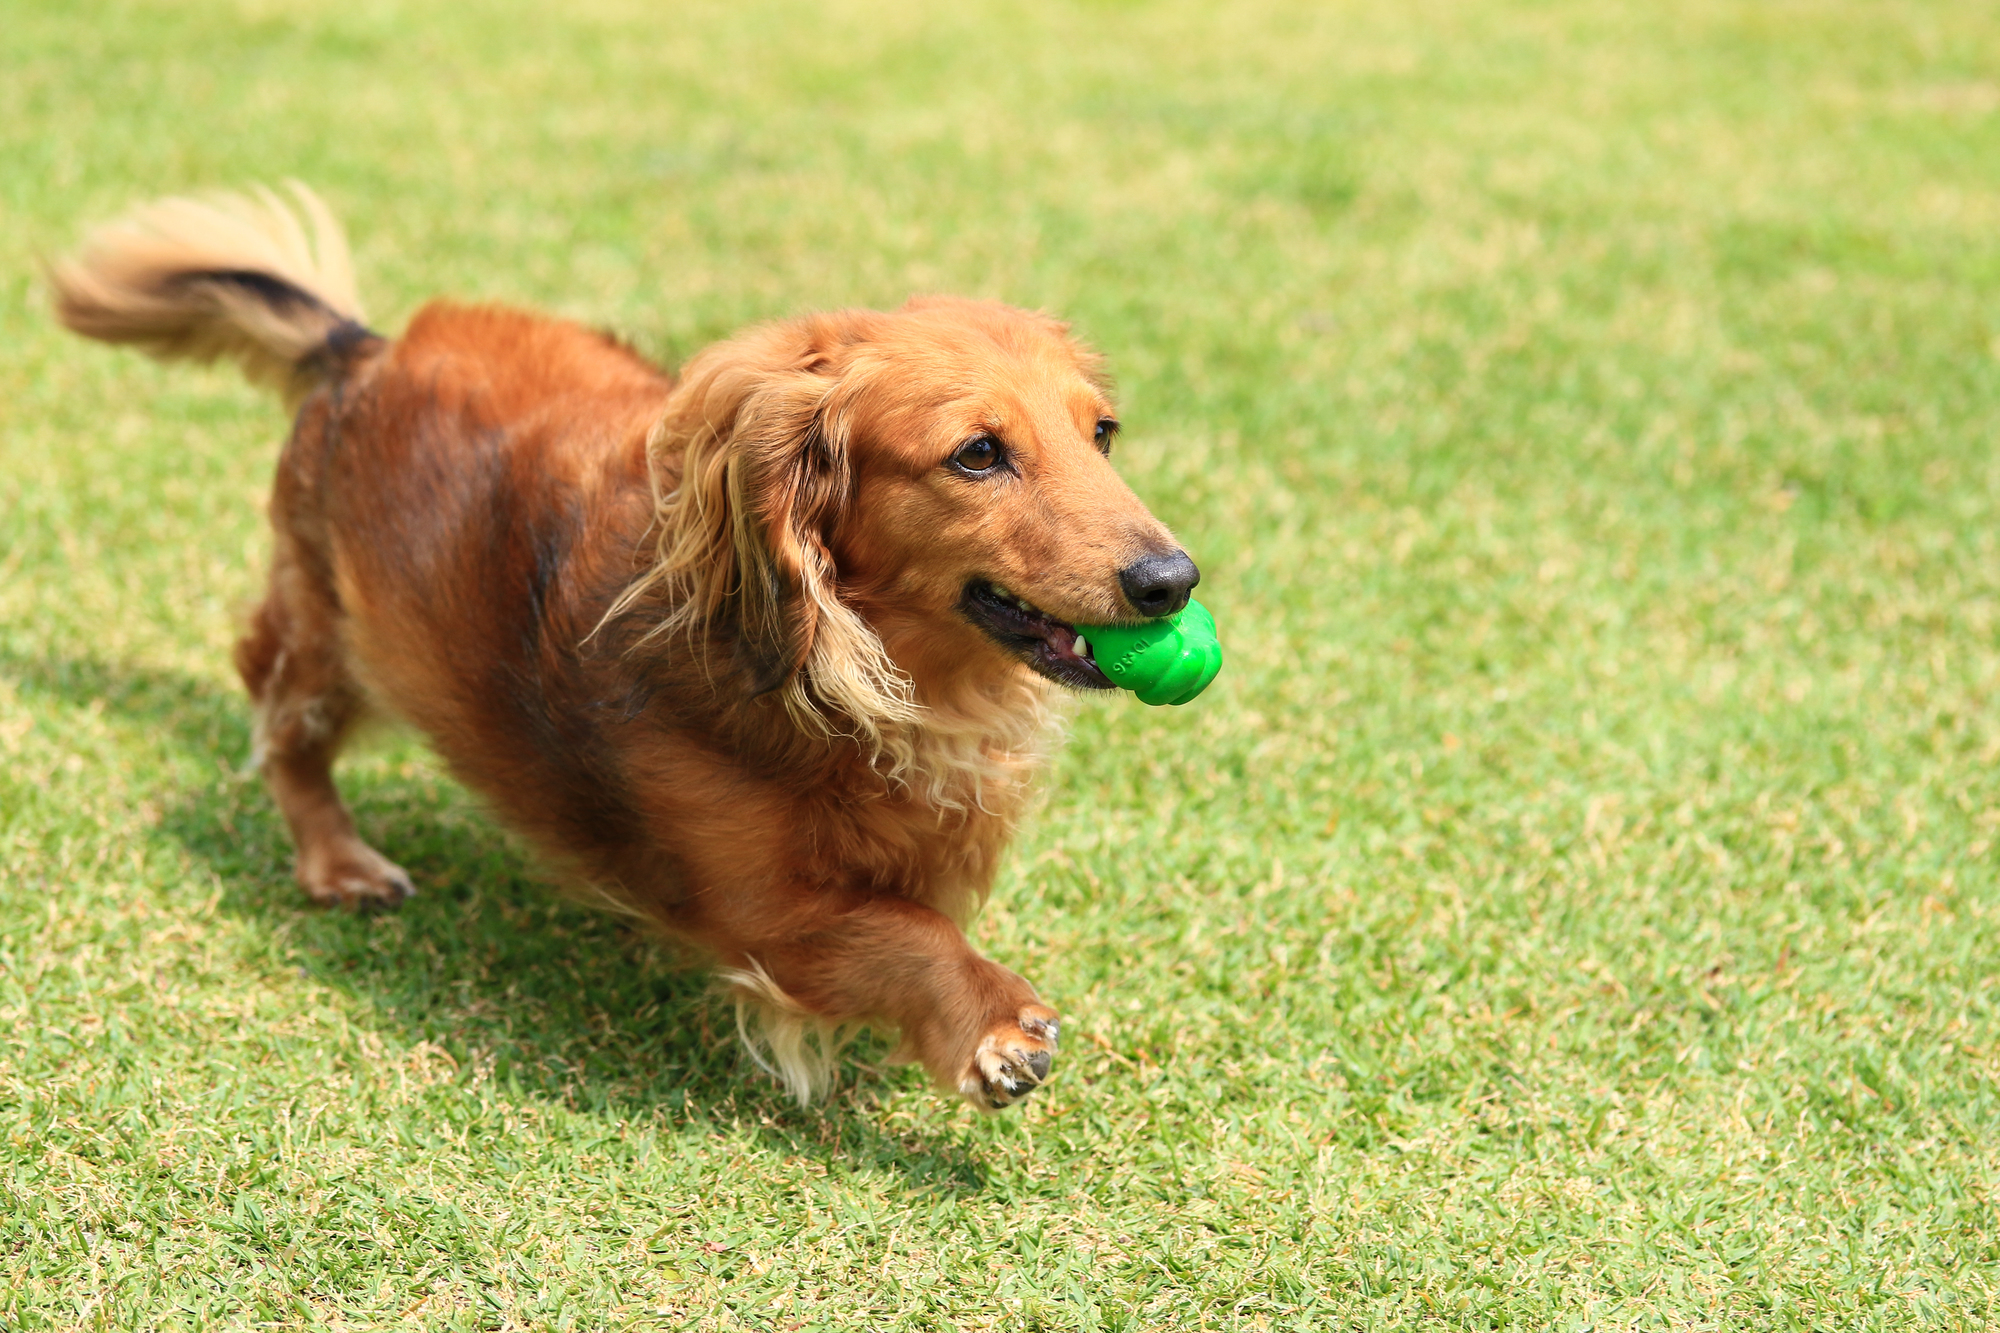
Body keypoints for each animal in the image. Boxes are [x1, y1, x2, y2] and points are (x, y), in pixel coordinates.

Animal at [50, 184, 1200, 1096]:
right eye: (976, 454)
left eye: (1101, 433)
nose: (1171, 580)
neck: (863, 674)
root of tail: (362, 349)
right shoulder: (766, 912)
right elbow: (903, 934)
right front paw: (993, 1021)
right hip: (330, 635)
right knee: (286, 729)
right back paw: (338, 861)